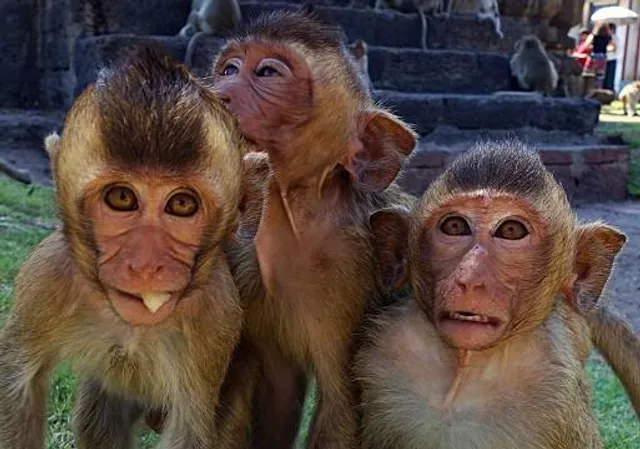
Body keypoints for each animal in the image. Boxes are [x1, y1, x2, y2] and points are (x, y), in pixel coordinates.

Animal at [0, 48, 246, 449]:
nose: (146, 265)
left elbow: (190, 427)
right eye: (121, 198)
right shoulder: (47, 278)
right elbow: (18, 382)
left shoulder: (216, 317)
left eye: (182, 204)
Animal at [211, 10, 417, 449]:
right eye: (229, 69)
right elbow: (277, 389)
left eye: (268, 72)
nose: (217, 93)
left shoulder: (343, 275)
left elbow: (342, 404)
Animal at [356, 140, 626, 449]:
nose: (469, 278)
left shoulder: (555, 388)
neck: (463, 372)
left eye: (510, 230)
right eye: (454, 226)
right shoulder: (385, 348)